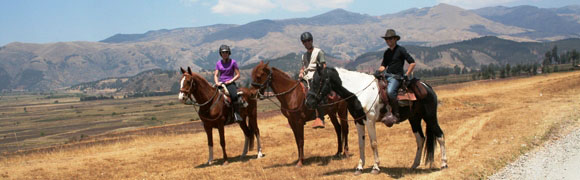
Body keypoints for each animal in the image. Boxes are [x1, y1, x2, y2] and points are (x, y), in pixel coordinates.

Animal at [304, 67, 448, 174]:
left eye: (318, 81)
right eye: (310, 81)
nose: (308, 102)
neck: (359, 91)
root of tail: (427, 87)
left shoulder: (370, 120)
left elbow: (373, 143)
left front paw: (375, 167)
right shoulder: (358, 121)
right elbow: (361, 144)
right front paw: (359, 167)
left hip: (430, 117)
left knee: (440, 135)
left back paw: (444, 164)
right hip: (414, 119)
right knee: (420, 139)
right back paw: (414, 165)